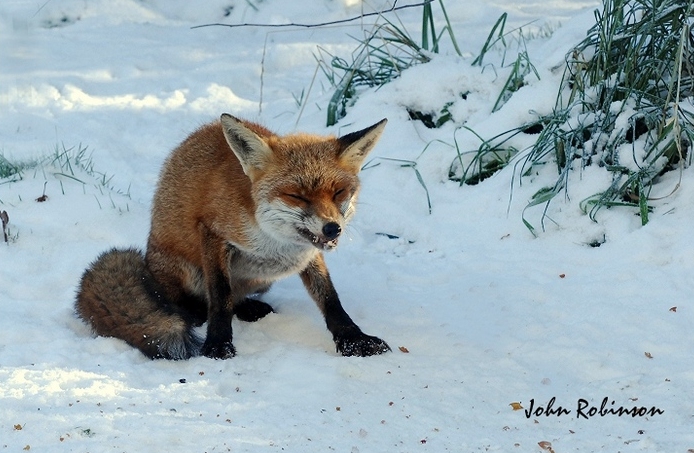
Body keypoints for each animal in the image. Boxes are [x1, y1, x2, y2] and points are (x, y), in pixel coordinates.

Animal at [75, 113, 390, 360]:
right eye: (296, 196)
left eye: (339, 192)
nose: (332, 228)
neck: (273, 243)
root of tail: (148, 267)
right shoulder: (213, 233)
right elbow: (220, 296)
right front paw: (218, 345)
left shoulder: (308, 253)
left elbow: (329, 298)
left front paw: (353, 339)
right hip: (183, 270)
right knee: (182, 301)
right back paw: (194, 312)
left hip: (262, 281)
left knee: (238, 297)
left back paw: (249, 307)